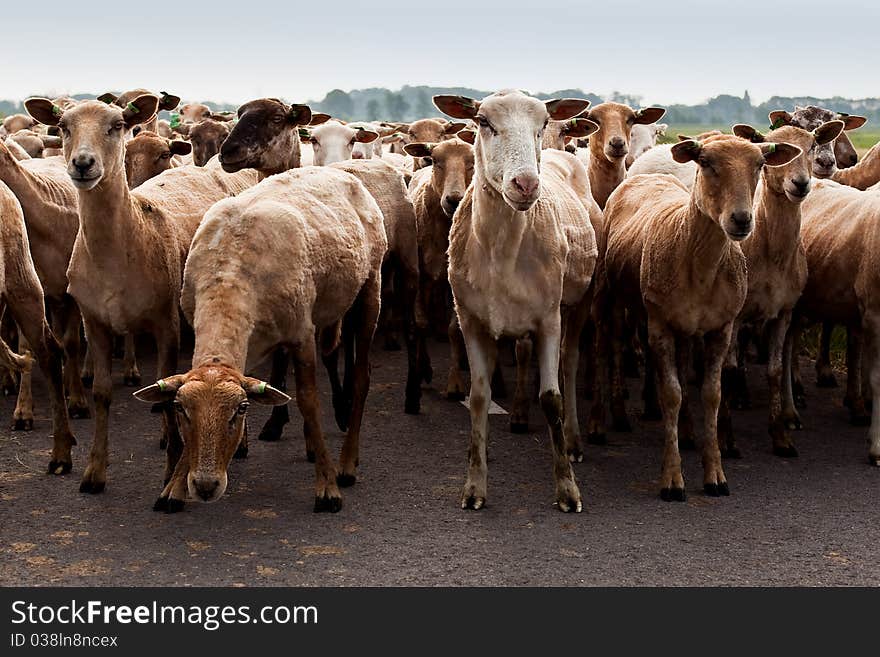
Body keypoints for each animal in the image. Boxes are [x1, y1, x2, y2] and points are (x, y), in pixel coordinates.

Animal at [26, 92, 262, 492]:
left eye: (117, 125)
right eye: (62, 126)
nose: (83, 164)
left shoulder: (166, 323)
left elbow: (168, 391)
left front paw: (171, 474)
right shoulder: (95, 322)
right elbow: (102, 393)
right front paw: (94, 472)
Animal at [132, 165, 386, 512]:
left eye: (239, 410)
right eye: (181, 409)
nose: (206, 486)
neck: (228, 276)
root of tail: (335, 170)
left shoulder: (302, 334)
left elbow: (308, 401)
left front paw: (327, 488)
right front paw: (175, 485)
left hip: (371, 286)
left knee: (361, 377)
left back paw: (347, 463)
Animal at [434, 89, 600, 510]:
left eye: (542, 123)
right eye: (483, 122)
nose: (525, 184)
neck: (501, 251)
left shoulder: (548, 320)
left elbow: (552, 398)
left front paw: (567, 489)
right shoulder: (471, 320)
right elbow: (478, 397)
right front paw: (474, 487)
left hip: (580, 301)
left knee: (570, 363)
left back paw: (573, 439)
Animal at [596, 136, 800, 500]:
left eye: (761, 164)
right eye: (705, 162)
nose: (742, 220)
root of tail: (647, 176)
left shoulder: (721, 329)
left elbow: (712, 393)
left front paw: (715, 474)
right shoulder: (660, 327)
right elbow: (672, 394)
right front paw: (672, 479)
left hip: (685, 328)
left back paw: (689, 433)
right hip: (610, 295)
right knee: (608, 346)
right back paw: (602, 422)